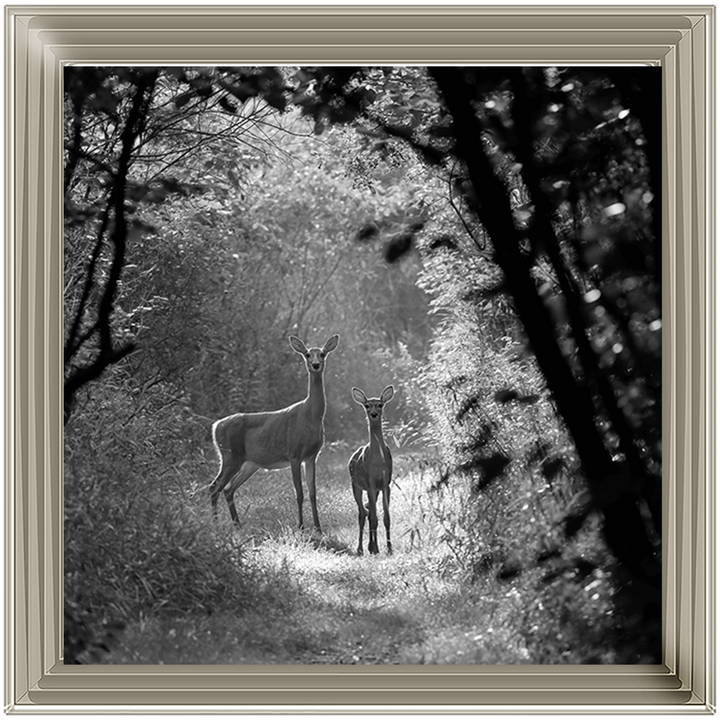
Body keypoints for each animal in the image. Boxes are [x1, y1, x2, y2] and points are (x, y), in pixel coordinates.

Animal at [209, 334, 340, 532]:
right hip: (230, 456)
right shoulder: (294, 453)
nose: (316, 365)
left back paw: (237, 525)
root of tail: (215, 426)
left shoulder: (311, 456)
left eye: (323, 354)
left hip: (249, 463)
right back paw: (216, 525)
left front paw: (318, 528)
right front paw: (301, 526)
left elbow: (312, 493)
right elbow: (299, 493)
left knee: (228, 488)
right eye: (308, 354)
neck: (311, 415)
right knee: (214, 486)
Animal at [348, 385, 395, 555]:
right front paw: (376, 548)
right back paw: (361, 549)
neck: (378, 461)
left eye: (380, 404)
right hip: (355, 485)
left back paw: (370, 546)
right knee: (363, 513)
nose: (373, 414)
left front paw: (389, 548)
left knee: (368, 512)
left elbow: (386, 518)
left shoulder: (385, 483)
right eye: (367, 405)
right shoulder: (370, 483)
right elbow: (374, 517)